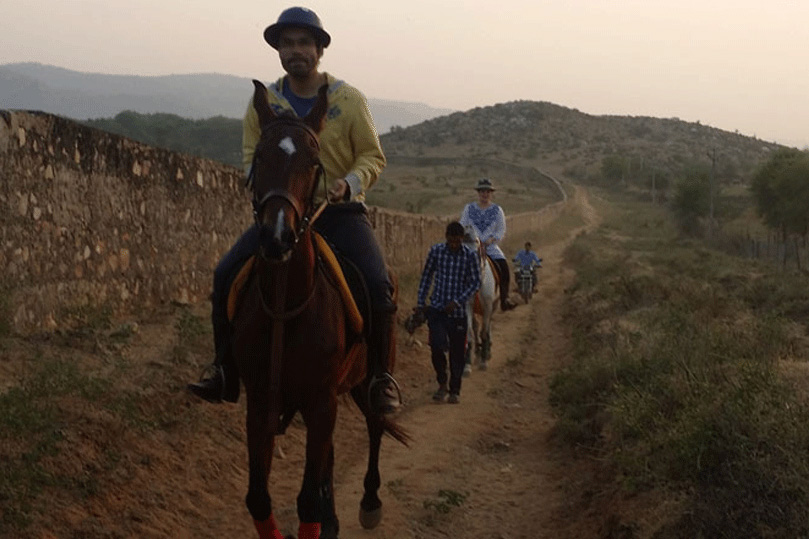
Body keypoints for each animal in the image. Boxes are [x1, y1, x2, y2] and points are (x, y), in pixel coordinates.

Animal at [232, 81, 410, 539]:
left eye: (313, 162)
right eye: (260, 156)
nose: (277, 237)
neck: (287, 302)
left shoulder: (321, 401)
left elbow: (308, 499)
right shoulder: (261, 404)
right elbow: (259, 497)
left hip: (367, 379)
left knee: (375, 425)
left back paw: (369, 502)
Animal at [460, 225, 498, 376]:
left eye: (476, 244)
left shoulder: (487, 306)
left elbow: (484, 332)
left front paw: (484, 361)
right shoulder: (468, 306)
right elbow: (470, 332)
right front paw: (467, 365)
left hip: (493, 306)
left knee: (487, 328)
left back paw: (487, 352)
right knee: (476, 328)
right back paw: (477, 352)